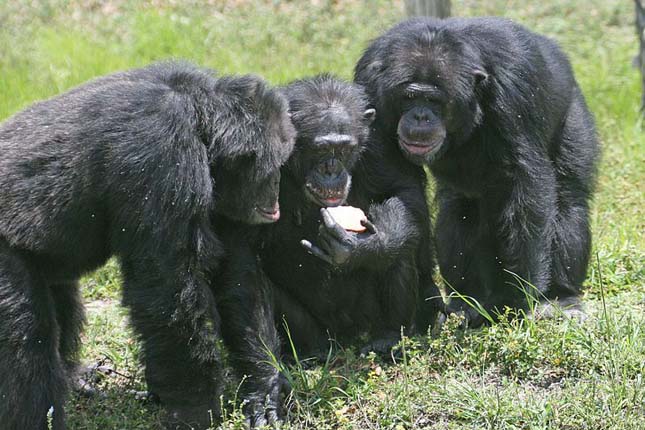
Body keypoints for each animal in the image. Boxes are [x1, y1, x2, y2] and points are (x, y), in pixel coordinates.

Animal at [0, 61, 296, 430]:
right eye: (274, 168)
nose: (277, 192)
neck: (197, 114)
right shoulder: (163, 155)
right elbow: (168, 288)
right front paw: (195, 408)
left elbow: (237, 274)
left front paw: (265, 386)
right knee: (26, 339)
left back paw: (75, 377)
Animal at [215, 74, 438, 426]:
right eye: (321, 149)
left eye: (345, 149)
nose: (332, 169)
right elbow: (242, 261)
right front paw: (266, 384)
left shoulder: (378, 145)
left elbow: (401, 192)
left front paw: (363, 247)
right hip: (315, 331)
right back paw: (309, 354)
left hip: (365, 318)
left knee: (401, 249)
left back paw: (388, 337)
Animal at [352, 15, 600, 326]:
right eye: (409, 97)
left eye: (433, 101)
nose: (420, 116)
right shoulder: (368, 86)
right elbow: (398, 186)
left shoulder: (516, 86)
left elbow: (526, 183)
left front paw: (517, 297)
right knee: (459, 207)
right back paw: (468, 299)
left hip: (573, 111)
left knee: (569, 198)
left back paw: (561, 296)